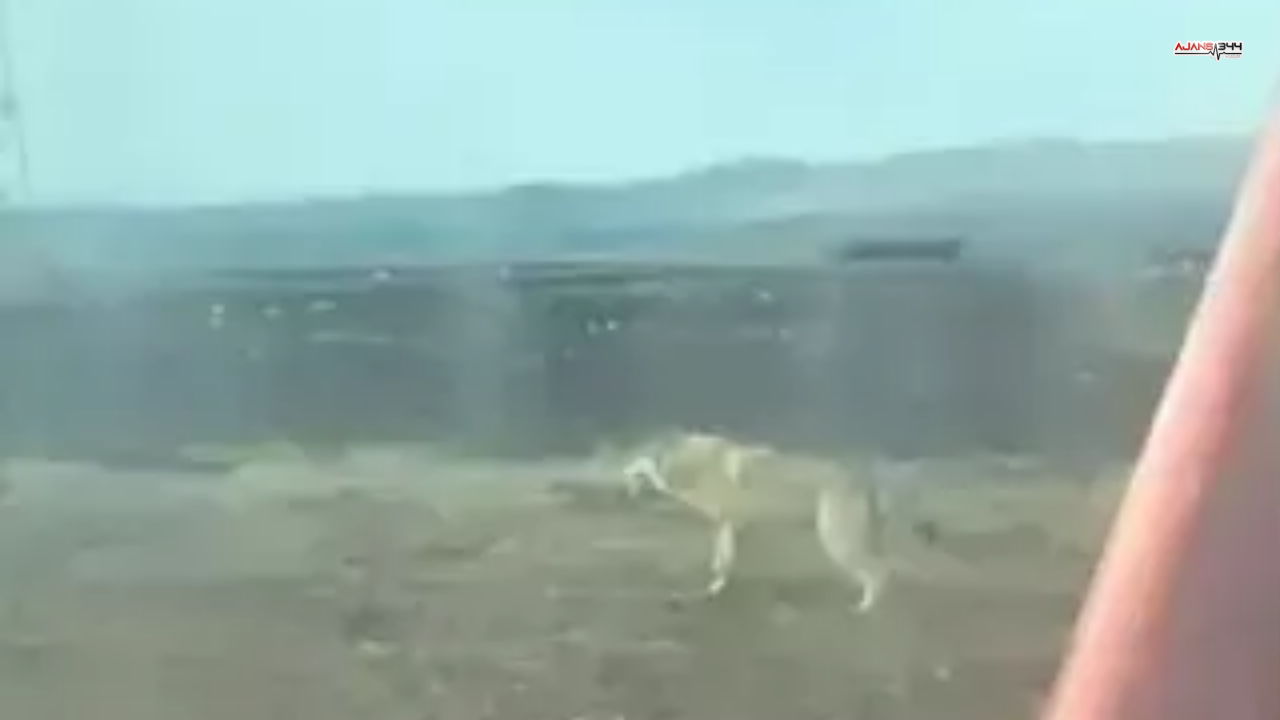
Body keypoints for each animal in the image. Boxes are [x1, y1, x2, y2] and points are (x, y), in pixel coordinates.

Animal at [622, 431, 894, 613]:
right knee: (878, 568)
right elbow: (724, 561)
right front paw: (715, 587)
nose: (628, 490)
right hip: (841, 540)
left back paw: (865, 609)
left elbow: (654, 474)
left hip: (836, 540)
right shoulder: (727, 522)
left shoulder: (713, 512)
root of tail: (858, 479)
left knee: (878, 571)